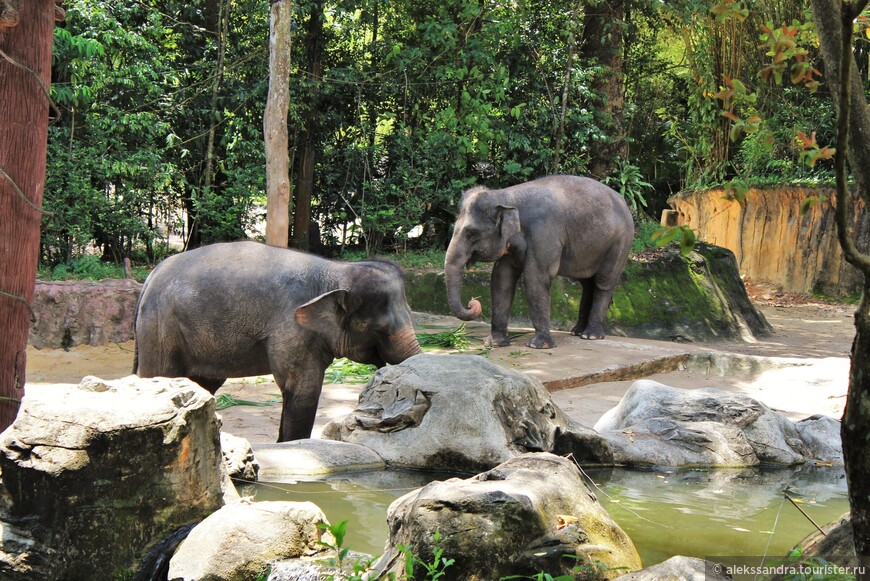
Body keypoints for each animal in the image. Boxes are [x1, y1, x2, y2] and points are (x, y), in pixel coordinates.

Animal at [132, 240, 426, 440]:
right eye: (379, 328)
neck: (337, 271)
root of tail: (149, 278)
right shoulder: (291, 328)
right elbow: (303, 390)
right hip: (161, 328)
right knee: (162, 374)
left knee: (203, 385)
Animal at [450, 174, 632, 348]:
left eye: (471, 233)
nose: (472, 302)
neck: (505, 195)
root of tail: (623, 201)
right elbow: (501, 279)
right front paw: (495, 343)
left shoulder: (544, 234)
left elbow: (535, 278)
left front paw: (538, 345)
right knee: (587, 284)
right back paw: (577, 332)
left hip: (619, 243)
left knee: (603, 282)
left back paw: (591, 335)